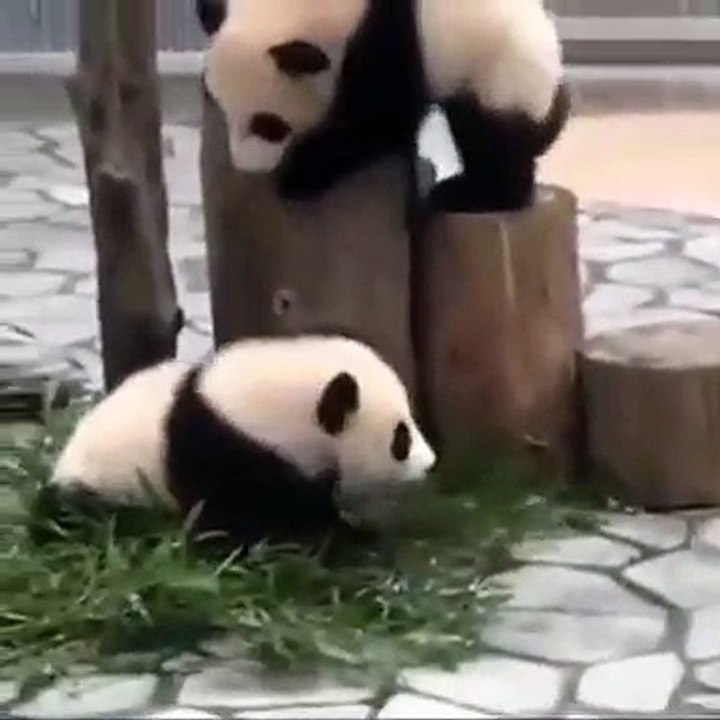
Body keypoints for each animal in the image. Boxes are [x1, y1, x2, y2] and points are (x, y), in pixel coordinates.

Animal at [197, 0, 570, 213]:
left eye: (270, 124)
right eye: (222, 109)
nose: (248, 166)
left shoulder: (387, 36)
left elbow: (382, 118)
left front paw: (302, 172)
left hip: (500, 68)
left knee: (492, 136)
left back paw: (470, 194)